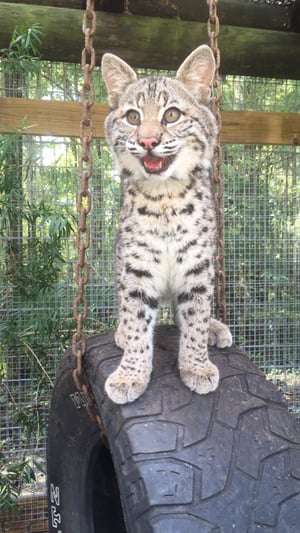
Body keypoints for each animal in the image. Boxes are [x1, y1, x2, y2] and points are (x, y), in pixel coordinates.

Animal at [101, 44, 232, 404]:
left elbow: (195, 318)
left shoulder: (198, 269)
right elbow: (135, 322)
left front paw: (196, 365)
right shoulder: (136, 269)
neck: (166, 197)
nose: (147, 142)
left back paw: (215, 327)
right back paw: (119, 331)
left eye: (171, 115)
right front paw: (131, 373)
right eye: (133, 117)